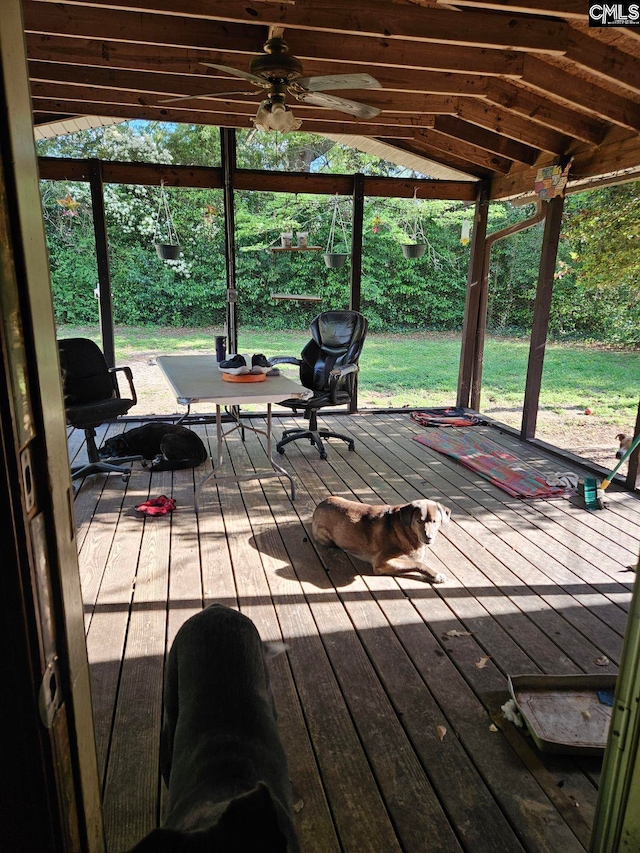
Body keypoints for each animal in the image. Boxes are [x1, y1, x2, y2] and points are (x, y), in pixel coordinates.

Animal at [312, 496, 452, 584]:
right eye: (418, 521)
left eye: (435, 521)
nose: (428, 537)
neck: (405, 529)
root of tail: (319, 506)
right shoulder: (382, 562)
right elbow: (418, 564)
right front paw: (436, 575)